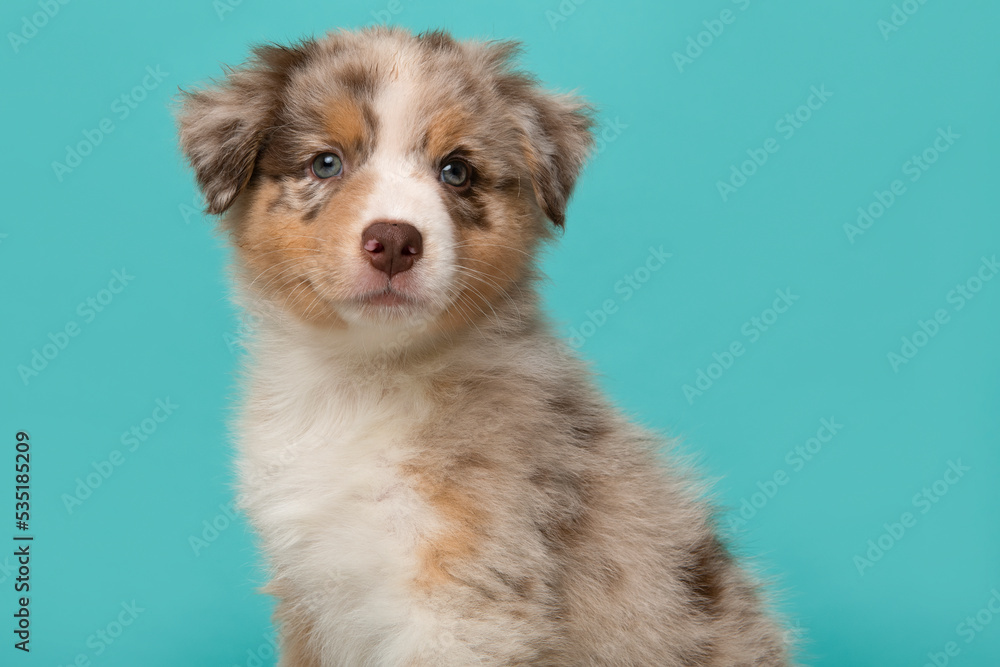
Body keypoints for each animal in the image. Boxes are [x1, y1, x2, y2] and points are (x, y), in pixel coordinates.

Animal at [178, 26, 788, 667]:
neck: (365, 379)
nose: (393, 241)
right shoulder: (309, 596)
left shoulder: (466, 598)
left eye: (457, 171)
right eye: (326, 163)